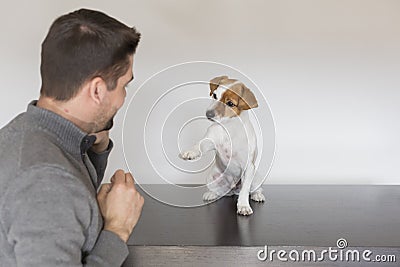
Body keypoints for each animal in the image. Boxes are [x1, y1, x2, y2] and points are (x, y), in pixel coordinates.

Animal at [180, 75, 264, 216]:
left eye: (230, 103)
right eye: (214, 95)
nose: (208, 114)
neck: (229, 127)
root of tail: (233, 187)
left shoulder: (248, 166)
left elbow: (245, 190)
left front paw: (243, 205)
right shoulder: (210, 141)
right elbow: (200, 144)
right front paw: (191, 152)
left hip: (256, 177)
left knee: (253, 189)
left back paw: (257, 195)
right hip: (212, 177)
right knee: (221, 192)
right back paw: (212, 194)